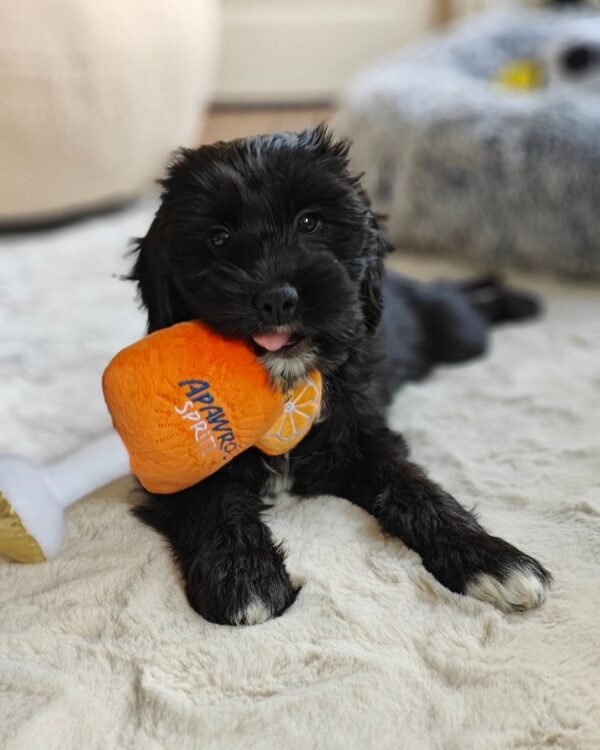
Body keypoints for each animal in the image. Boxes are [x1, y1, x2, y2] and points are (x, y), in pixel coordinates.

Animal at [131, 126, 552, 624]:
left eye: (311, 222)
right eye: (217, 238)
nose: (277, 297)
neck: (287, 386)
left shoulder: (362, 434)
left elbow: (411, 485)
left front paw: (490, 557)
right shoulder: (182, 463)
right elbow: (211, 497)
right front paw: (242, 574)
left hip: (459, 334)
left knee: (466, 303)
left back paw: (518, 301)